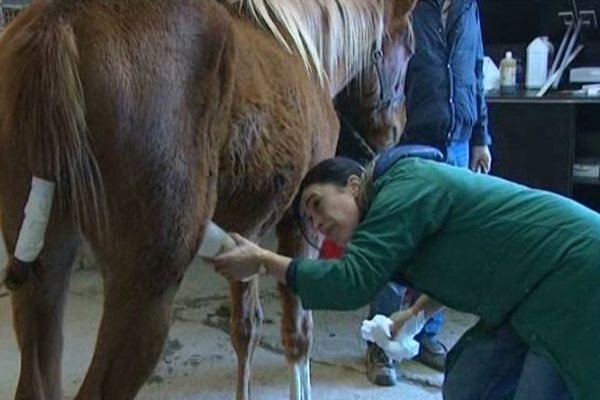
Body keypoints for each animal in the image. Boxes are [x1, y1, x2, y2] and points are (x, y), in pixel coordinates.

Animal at [0, 0, 414, 400]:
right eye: (409, 47)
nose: (397, 129)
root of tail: (61, 20)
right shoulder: (301, 228)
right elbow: (298, 334)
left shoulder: (245, 232)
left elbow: (246, 328)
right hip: (145, 290)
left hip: (45, 270)